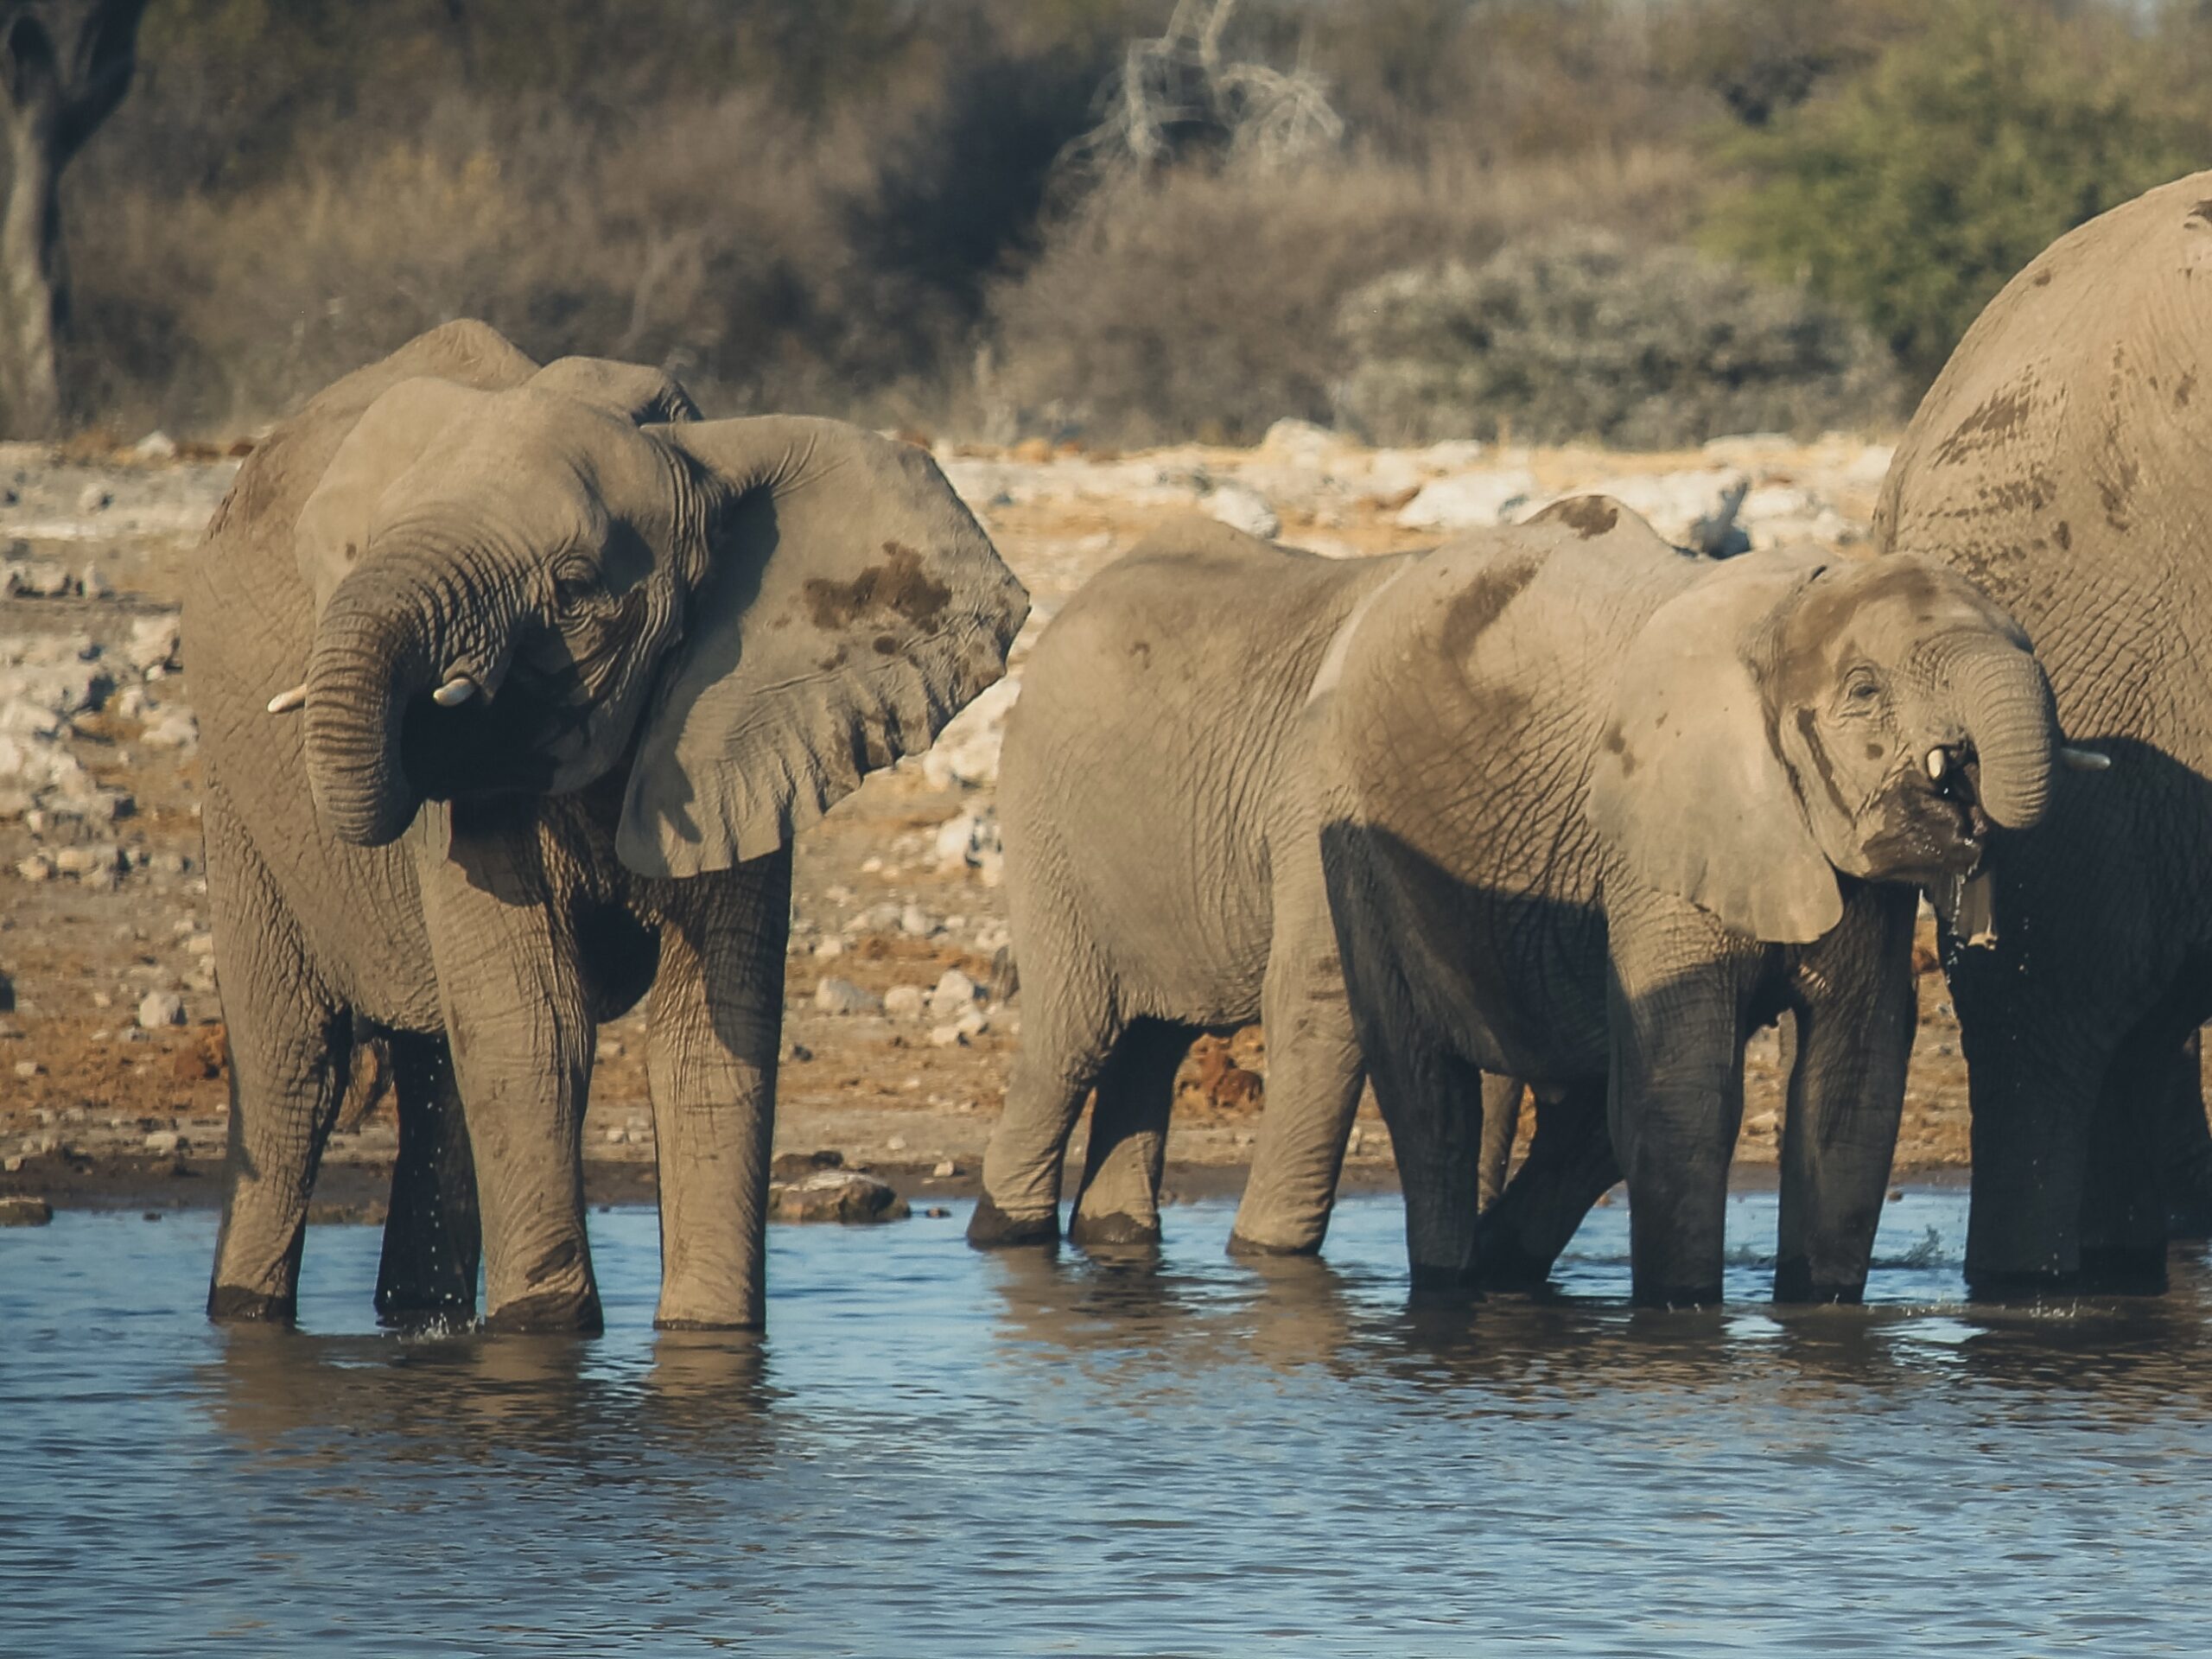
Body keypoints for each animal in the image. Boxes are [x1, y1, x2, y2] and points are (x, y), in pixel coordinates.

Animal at [185, 320, 1027, 1333]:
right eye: (365, 548)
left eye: (576, 587)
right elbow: (537, 1029)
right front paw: (544, 1335)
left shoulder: (740, 727)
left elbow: (711, 1039)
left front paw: (706, 1337)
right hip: (233, 798)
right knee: (292, 1075)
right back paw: (250, 1312)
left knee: (433, 1077)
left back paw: (416, 1318)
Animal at [971, 501, 2070, 1305]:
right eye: (1863, 693)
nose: (1964, 791)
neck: (1776, 612)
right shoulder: (1650, 829)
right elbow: (1682, 1091)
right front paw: (1682, 1317)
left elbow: (1851, 1087)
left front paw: (1819, 1313)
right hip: (1279, 817)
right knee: (1380, 1073)